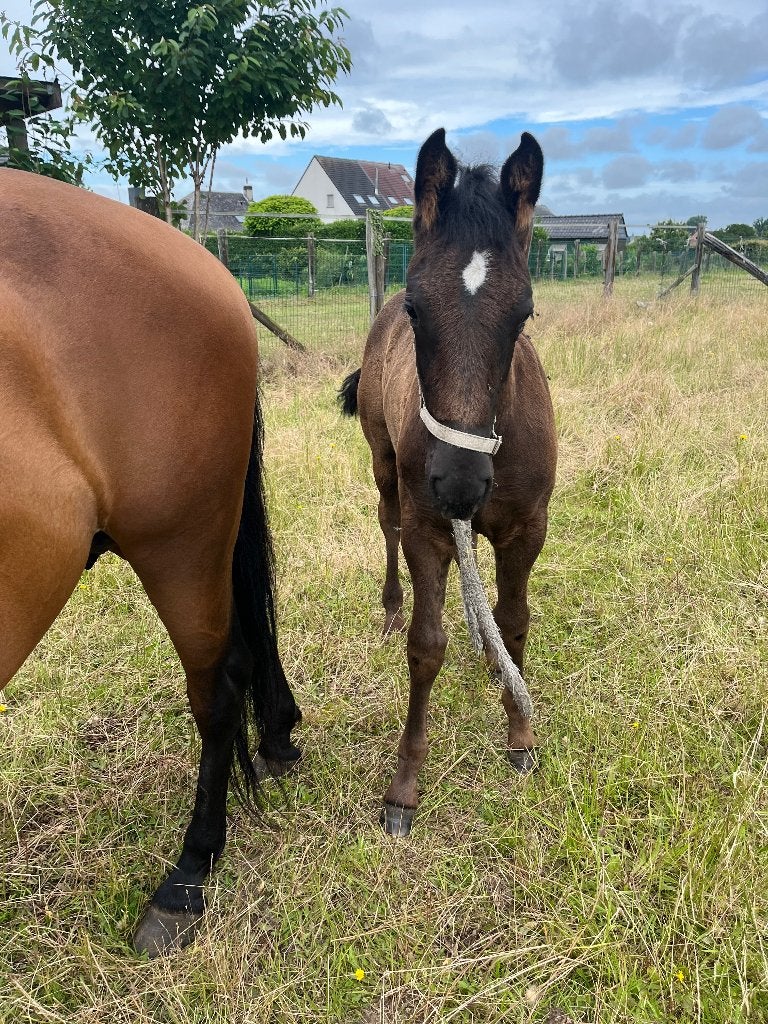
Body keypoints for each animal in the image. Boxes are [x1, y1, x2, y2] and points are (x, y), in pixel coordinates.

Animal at [339, 129, 557, 836]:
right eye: (416, 308)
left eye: (524, 313)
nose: (459, 483)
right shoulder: (428, 529)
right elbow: (425, 647)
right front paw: (404, 787)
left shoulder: (527, 529)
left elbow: (515, 623)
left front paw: (519, 735)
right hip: (385, 466)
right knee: (385, 522)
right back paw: (389, 607)